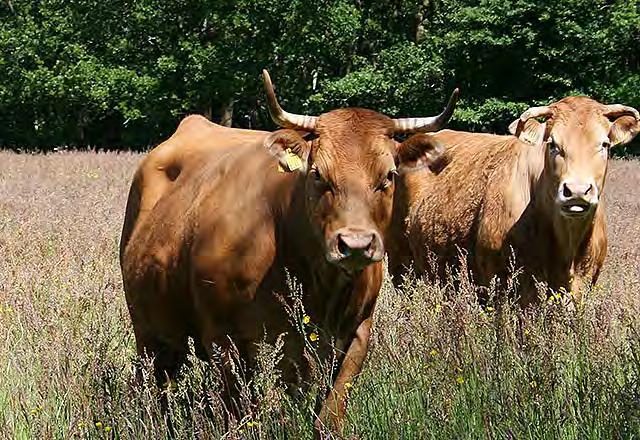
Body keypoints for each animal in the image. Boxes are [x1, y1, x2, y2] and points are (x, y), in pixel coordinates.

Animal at [120, 70, 460, 434]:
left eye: (389, 176)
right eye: (318, 174)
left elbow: (328, 414)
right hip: (151, 333)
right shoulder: (226, 339)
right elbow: (238, 411)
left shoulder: (354, 335)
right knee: (156, 388)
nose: (355, 245)